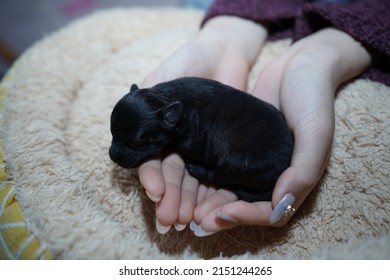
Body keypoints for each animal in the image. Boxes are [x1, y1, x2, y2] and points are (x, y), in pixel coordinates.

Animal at [109, 77, 292, 202]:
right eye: (112, 132)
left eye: (137, 143)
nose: (112, 155)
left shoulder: (192, 141)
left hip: (233, 165)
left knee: (217, 176)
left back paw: (195, 170)